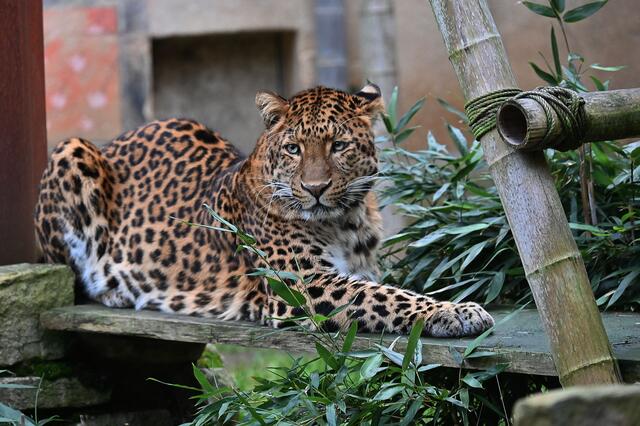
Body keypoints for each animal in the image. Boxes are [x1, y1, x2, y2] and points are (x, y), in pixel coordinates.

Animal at [34, 83, 494, 337]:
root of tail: (118, 138)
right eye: (293, 148)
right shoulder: (306, 285)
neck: (346, 220)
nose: (315, 189)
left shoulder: (358, 270)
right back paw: (116, 289)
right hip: (71, 150)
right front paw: (458, 311)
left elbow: (389, 288)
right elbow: (389, 298)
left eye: (339, 146)